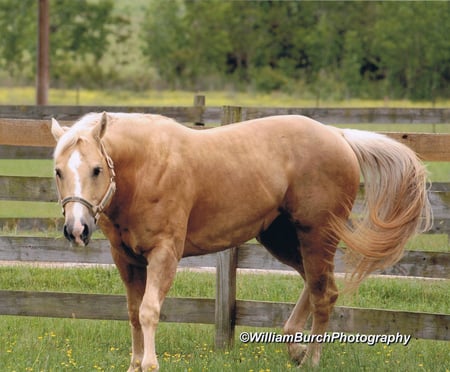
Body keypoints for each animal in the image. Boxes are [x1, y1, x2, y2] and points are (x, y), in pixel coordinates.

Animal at [50, 112, 432, 370]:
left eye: (97, 169)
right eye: (58, 171)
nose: (77, 229)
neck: (147, 167)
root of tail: (338, 135)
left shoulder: (164, 254)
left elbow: (148, 311)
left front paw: (150, 365)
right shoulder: (125, 258)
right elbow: (132, 313)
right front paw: (134, 365)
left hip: (317, 235)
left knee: (324, 294)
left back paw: (311, 359)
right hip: (282, 238)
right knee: (317, 285)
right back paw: (295, 348)